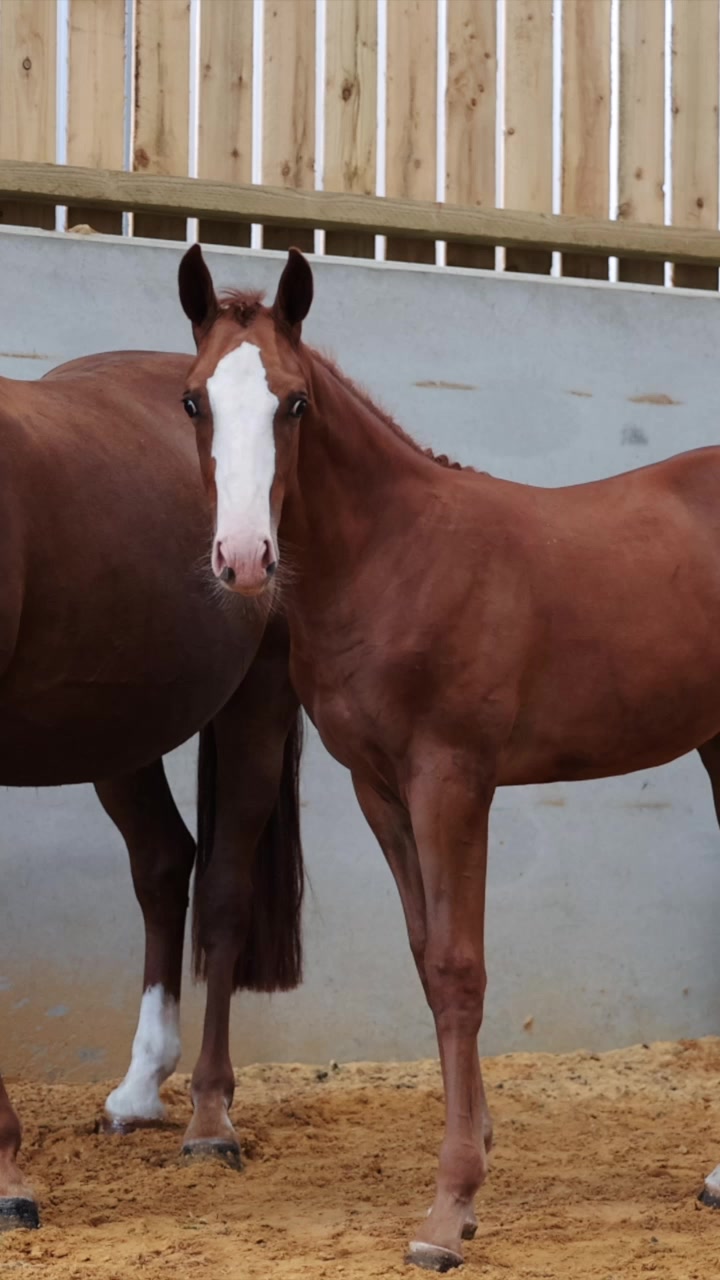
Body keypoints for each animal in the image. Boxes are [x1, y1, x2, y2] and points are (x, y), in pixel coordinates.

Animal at [0, 349, 304, 1232]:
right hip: (115, 730)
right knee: (166, 866)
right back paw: (138, 1092)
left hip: (256, 701)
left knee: (224, 888)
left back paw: (210, 1121)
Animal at [176, 241, 720, 1270]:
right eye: (193, 400)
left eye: (294, 402)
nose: (243, 558)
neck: (397, 560)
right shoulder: (378, 787)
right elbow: (428, 960)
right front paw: (474, 1162)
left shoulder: (454, 778)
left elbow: (463, 969)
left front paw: (450, 1209)